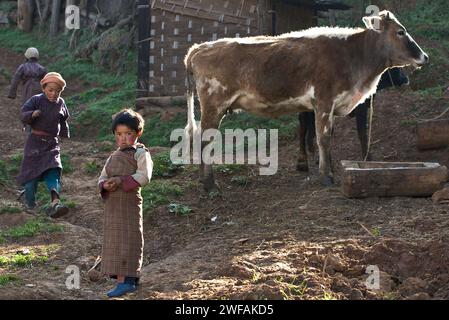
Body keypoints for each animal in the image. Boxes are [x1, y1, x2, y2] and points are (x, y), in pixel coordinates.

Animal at [185, 10, 428, 192]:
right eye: (401, 31)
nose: (424, 56)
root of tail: (198, 48)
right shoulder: (323, 101)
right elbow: (323, 138)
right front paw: (326, 176)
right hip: (213, 105)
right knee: (204, 139)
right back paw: (210, 185)